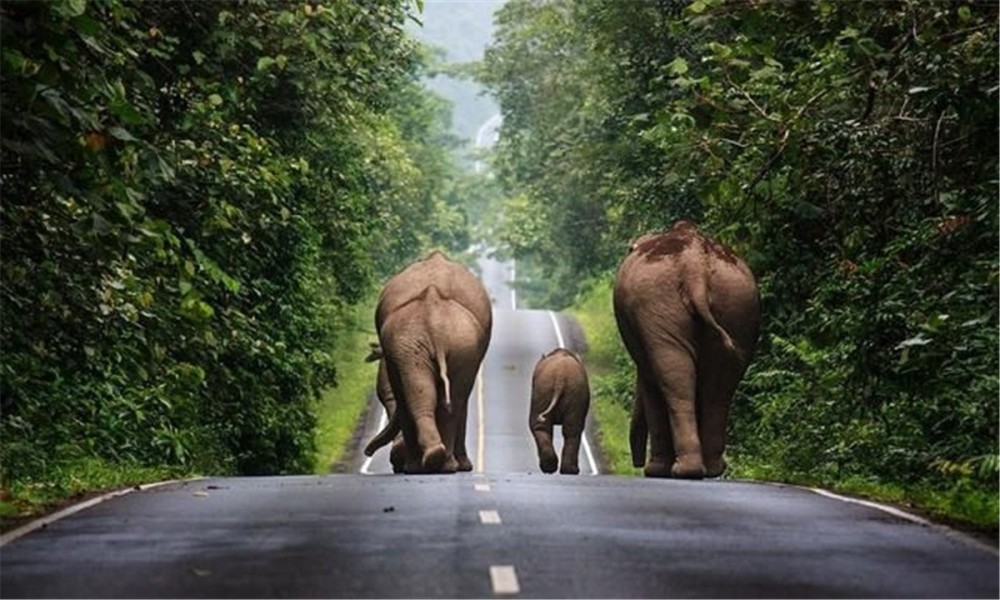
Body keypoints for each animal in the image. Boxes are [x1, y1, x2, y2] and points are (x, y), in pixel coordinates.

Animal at [366, 251, 494, 476]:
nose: (367, 452)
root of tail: (434, 322)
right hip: (435, 344)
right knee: (447, 397)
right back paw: (436, 462)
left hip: (439, 344)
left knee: (439, 396)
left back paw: (429, 464)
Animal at [612, 220, 760, 478]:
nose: (636, 464)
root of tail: (695, 267)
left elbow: (649, 381)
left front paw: (654, 470)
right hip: (733, 305)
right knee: (717, 388)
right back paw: (709, 470)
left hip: (663, 303)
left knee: (677, 381)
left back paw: (683, 470)